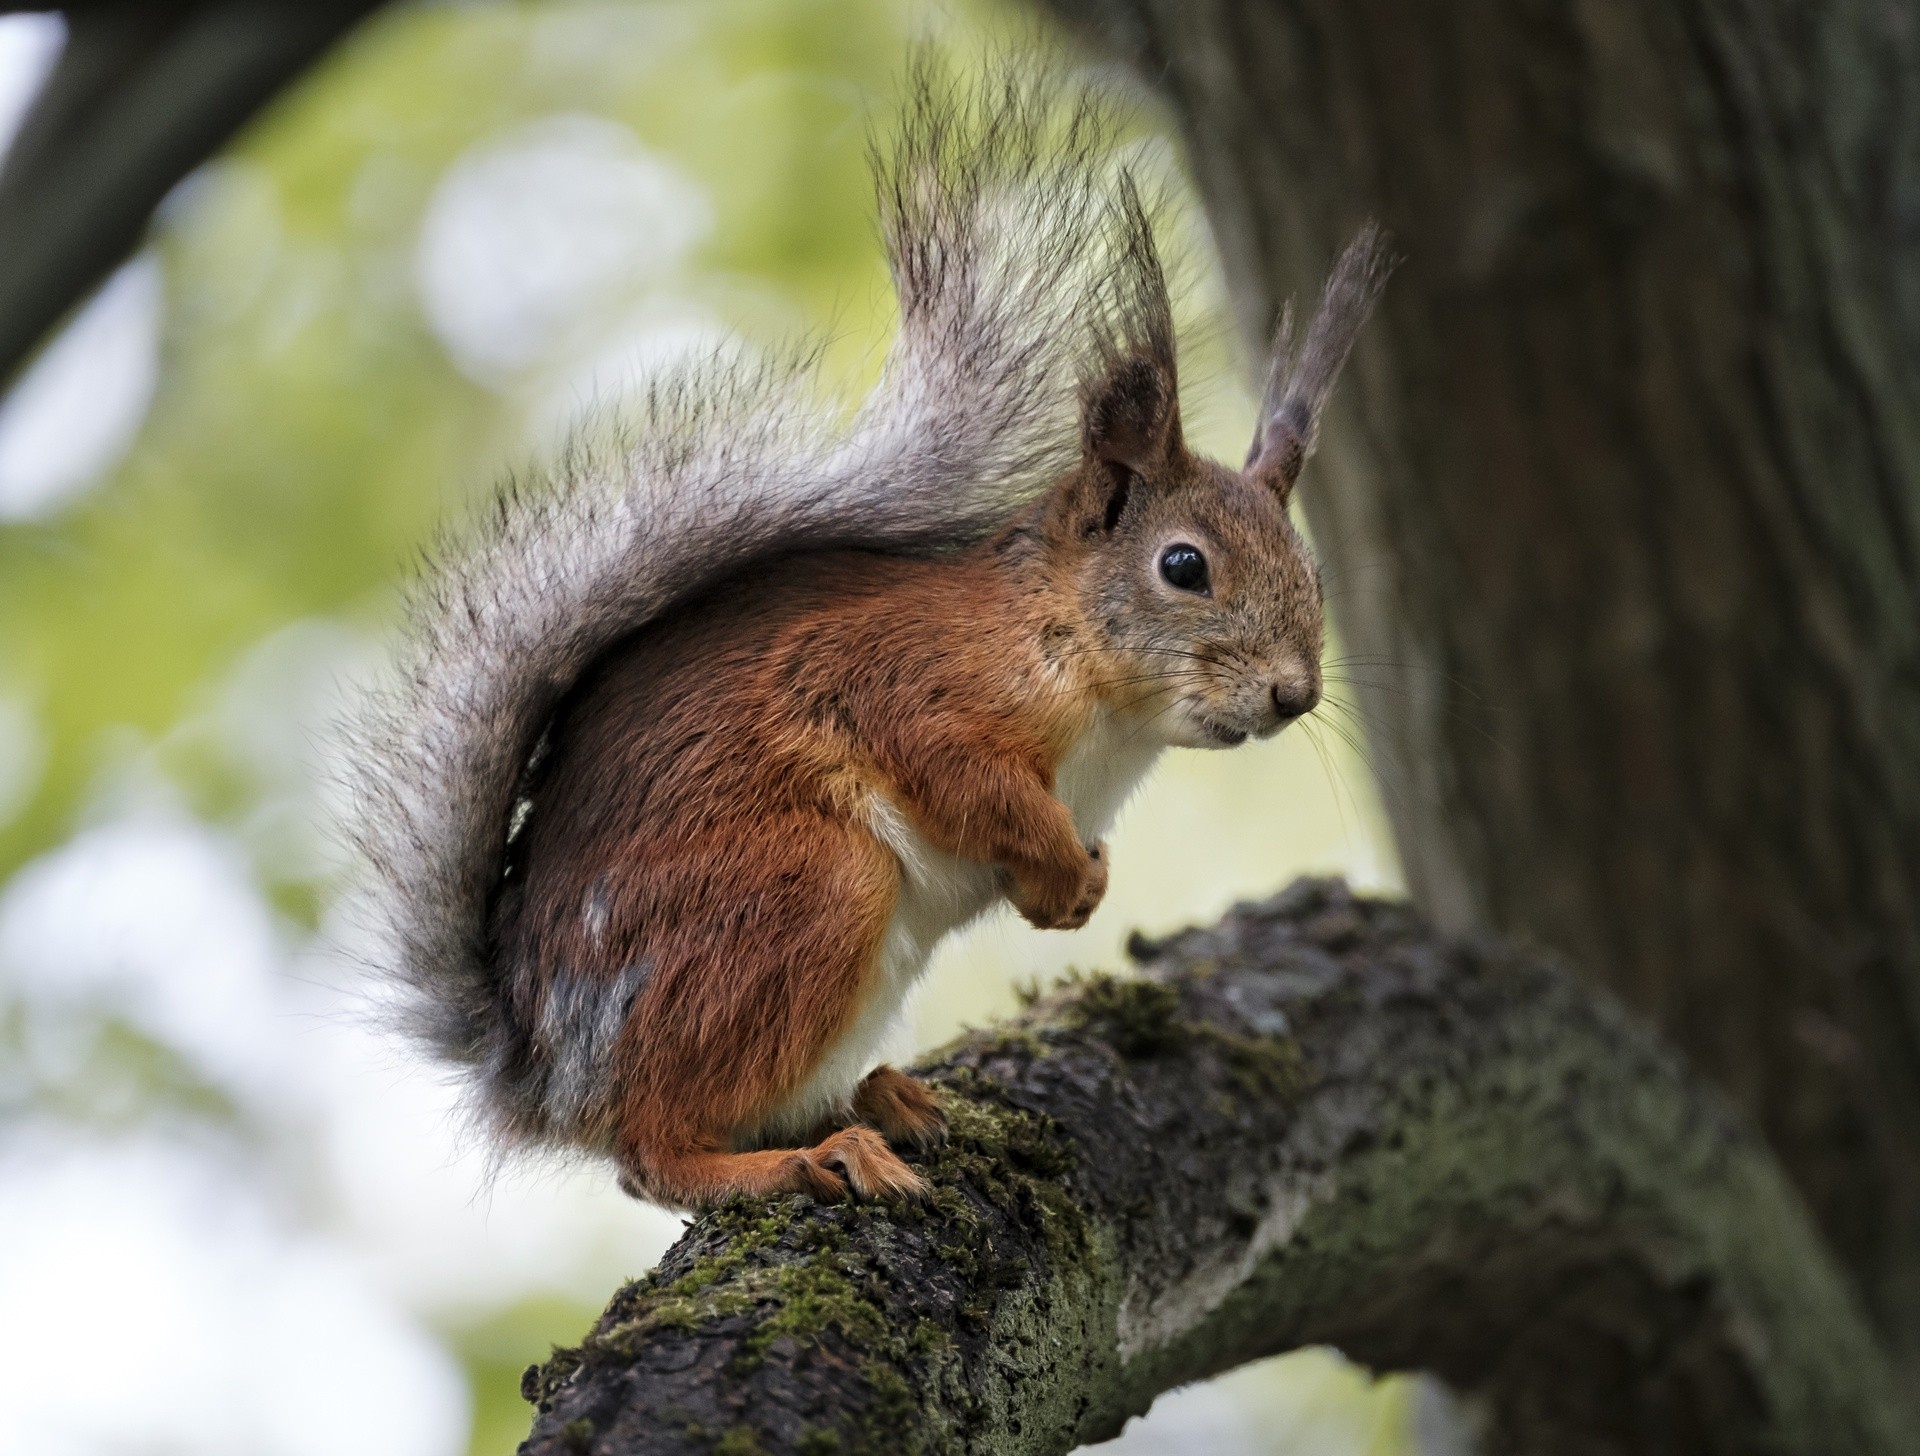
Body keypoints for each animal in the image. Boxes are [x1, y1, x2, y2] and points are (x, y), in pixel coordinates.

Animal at [345, 62, 1390, 1213]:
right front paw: (1060, 867)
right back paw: (802, 1156)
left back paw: (884, 1098)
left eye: (1313, 573)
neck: (1096, 694)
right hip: (805, 890)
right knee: (650, 1153)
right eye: (1184, 566)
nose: (1295, 694)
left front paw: (1081, 888)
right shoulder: (900, 681)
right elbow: (969, 780)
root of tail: (544, 1069)